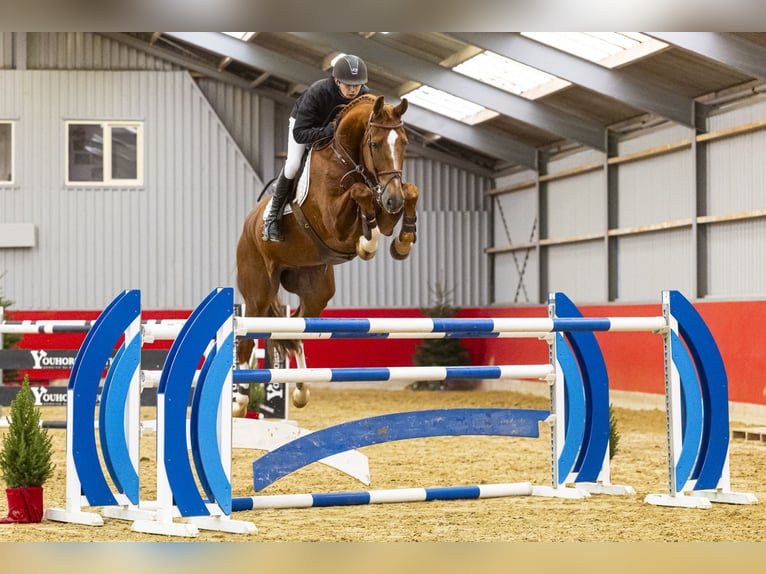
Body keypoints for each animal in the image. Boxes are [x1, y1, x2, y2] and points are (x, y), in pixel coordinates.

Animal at [234, 94, 419, 412]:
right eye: (375, 144)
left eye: (404, 143)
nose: (392, 200)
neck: (347, 158)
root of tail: (248, 227)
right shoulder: (333, 222)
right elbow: (360, 193)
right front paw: (367, 244)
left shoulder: (385, 203)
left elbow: (409, 191)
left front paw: (403, 241)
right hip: (258, 292)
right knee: (248, 338)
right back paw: (241, 399)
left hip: (315, 290)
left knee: (295, 329)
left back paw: (300, 389)